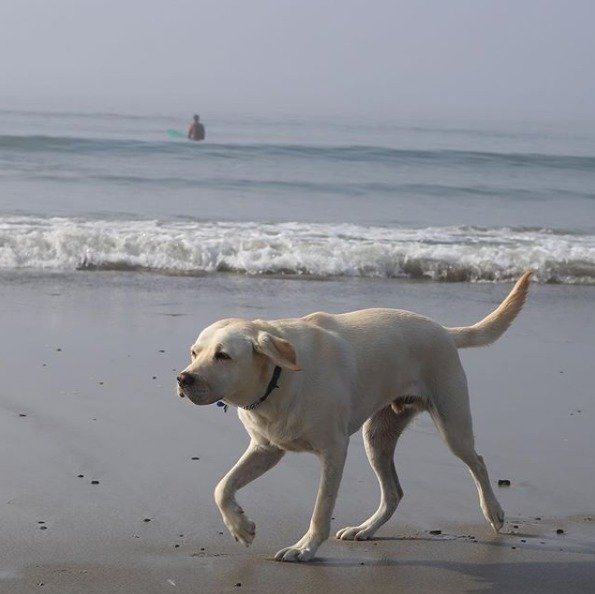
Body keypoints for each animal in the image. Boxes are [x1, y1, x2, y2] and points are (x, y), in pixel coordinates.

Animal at [176, 272, 532, 560]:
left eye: (223, 356)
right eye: (194, 352)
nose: (183, 378)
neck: (278, 379)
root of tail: (444, 330)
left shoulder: (334, 450)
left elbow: (321, 508)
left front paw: (304, 548)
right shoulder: (266, 449)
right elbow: (222, 487)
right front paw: (240, 527)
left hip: (451, 423)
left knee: (478, 462)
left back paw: (494, 512)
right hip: (377, 437)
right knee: (394, 493)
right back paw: (366, 529)